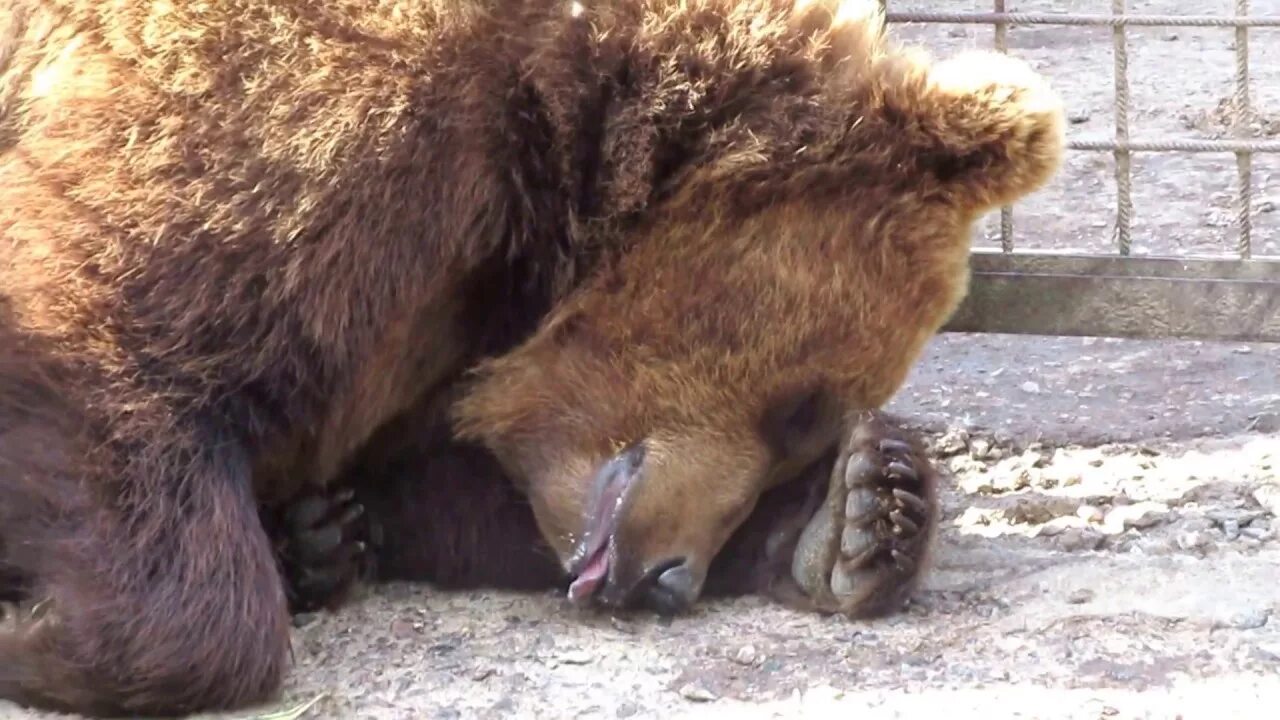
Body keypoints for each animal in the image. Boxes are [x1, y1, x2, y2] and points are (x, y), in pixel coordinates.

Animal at [0, 0, 1059, 712]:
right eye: (796, 404)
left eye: (801, 432)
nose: (666, 578)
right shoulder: (292, 146)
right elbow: (106, 348)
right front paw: (41, 639)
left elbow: (453, 487)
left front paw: (861, 511)